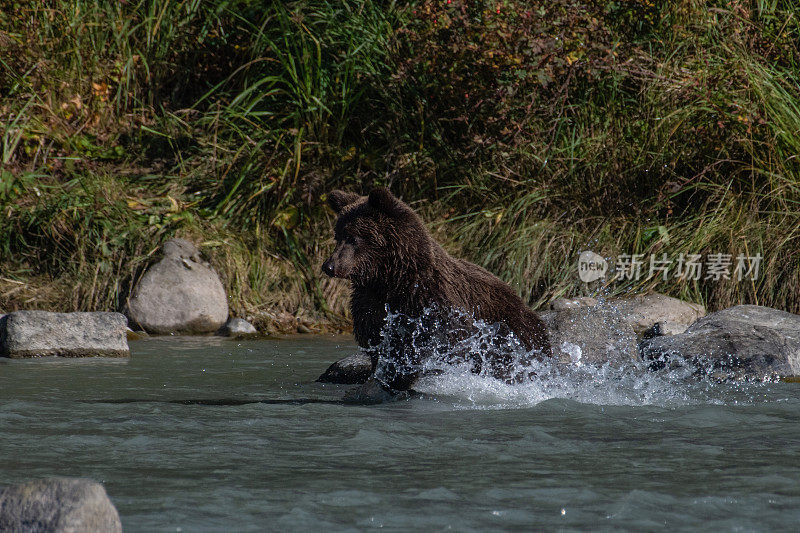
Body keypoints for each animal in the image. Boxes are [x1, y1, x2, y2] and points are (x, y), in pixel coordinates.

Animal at [322, 188, 552, 390]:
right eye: (337, 235)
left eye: (353, 238)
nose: (329, 266)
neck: (392, 280)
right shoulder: (371, 306)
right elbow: (377, 343)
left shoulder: (433, 304)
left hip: (513, 328)